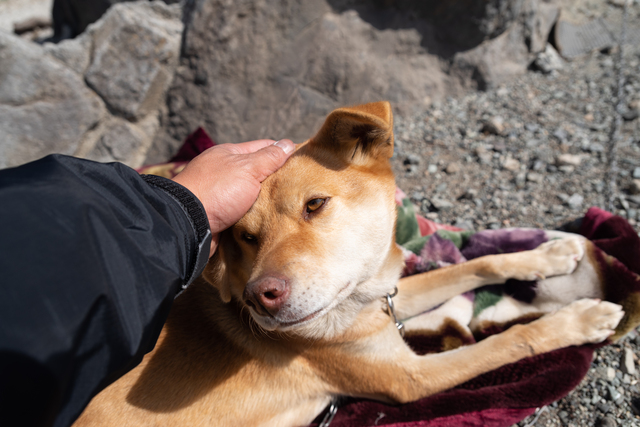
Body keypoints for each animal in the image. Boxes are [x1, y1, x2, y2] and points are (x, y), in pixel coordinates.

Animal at [72, 102, 624, 426]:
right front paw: (580, 320)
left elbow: (468, 268)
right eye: (247, 238)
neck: (359, 302)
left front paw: (546, 255)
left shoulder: (390, 294)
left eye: (315, 205)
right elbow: (511, 340)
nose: (259, 297)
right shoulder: (410, 378)